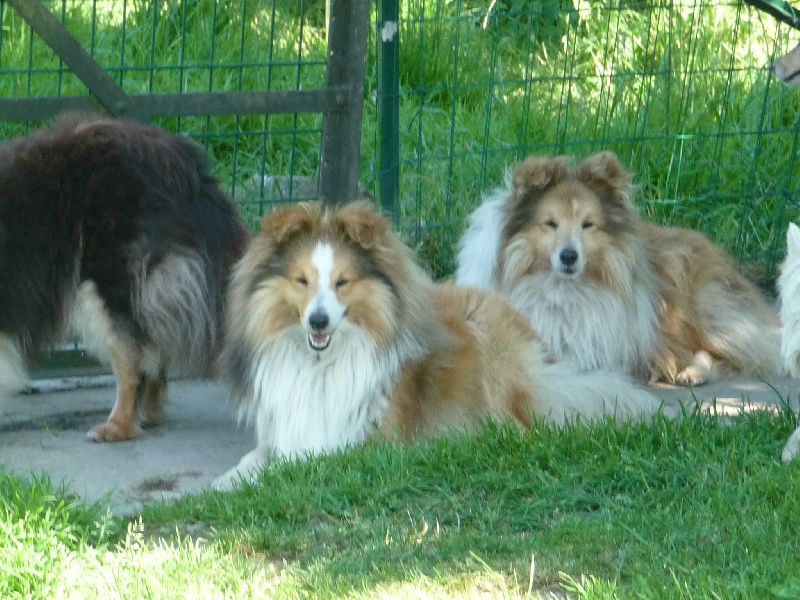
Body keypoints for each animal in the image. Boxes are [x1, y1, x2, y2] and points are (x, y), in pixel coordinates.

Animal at [0, 112, 250, 440]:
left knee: (133, 361)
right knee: (152, 353)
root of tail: (184, 169)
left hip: (106, 284)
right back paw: (148, 415)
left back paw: (118, 426)